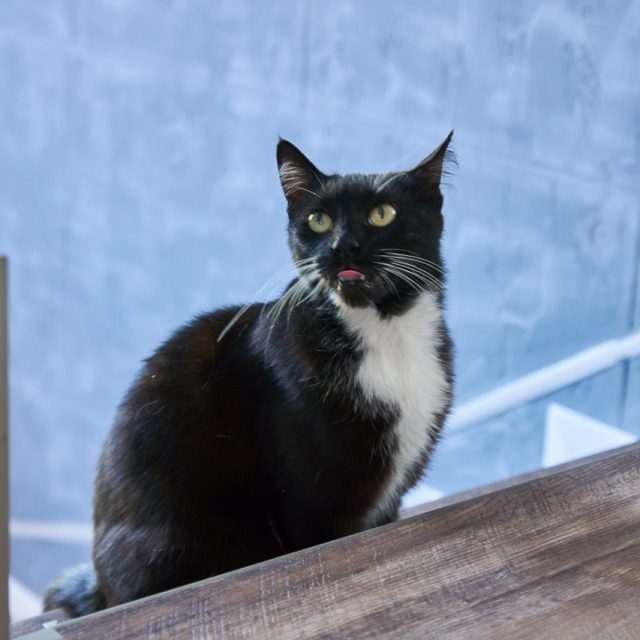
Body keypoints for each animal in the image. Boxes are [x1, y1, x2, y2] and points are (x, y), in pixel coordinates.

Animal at [44, 133, 455, 617]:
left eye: (382, 214)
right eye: (318, 220)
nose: (342, 246)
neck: (385, 331)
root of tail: (100, 585)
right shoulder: (305, 502)